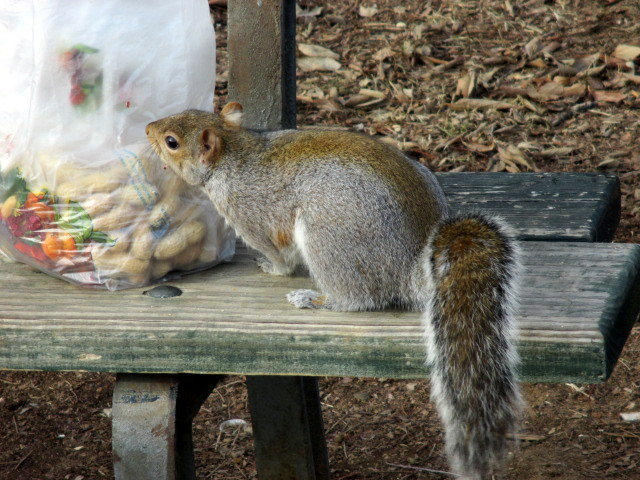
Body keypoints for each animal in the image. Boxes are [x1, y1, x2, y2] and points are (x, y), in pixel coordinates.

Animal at [148, 103, 524, 478]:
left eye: (171, 142)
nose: (149, 128)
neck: (234, 155)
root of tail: (412, 265)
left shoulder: (253, 218)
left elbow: (279, 255)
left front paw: (271, 267)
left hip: (328, 237)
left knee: (358, 298)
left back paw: (314, 298)